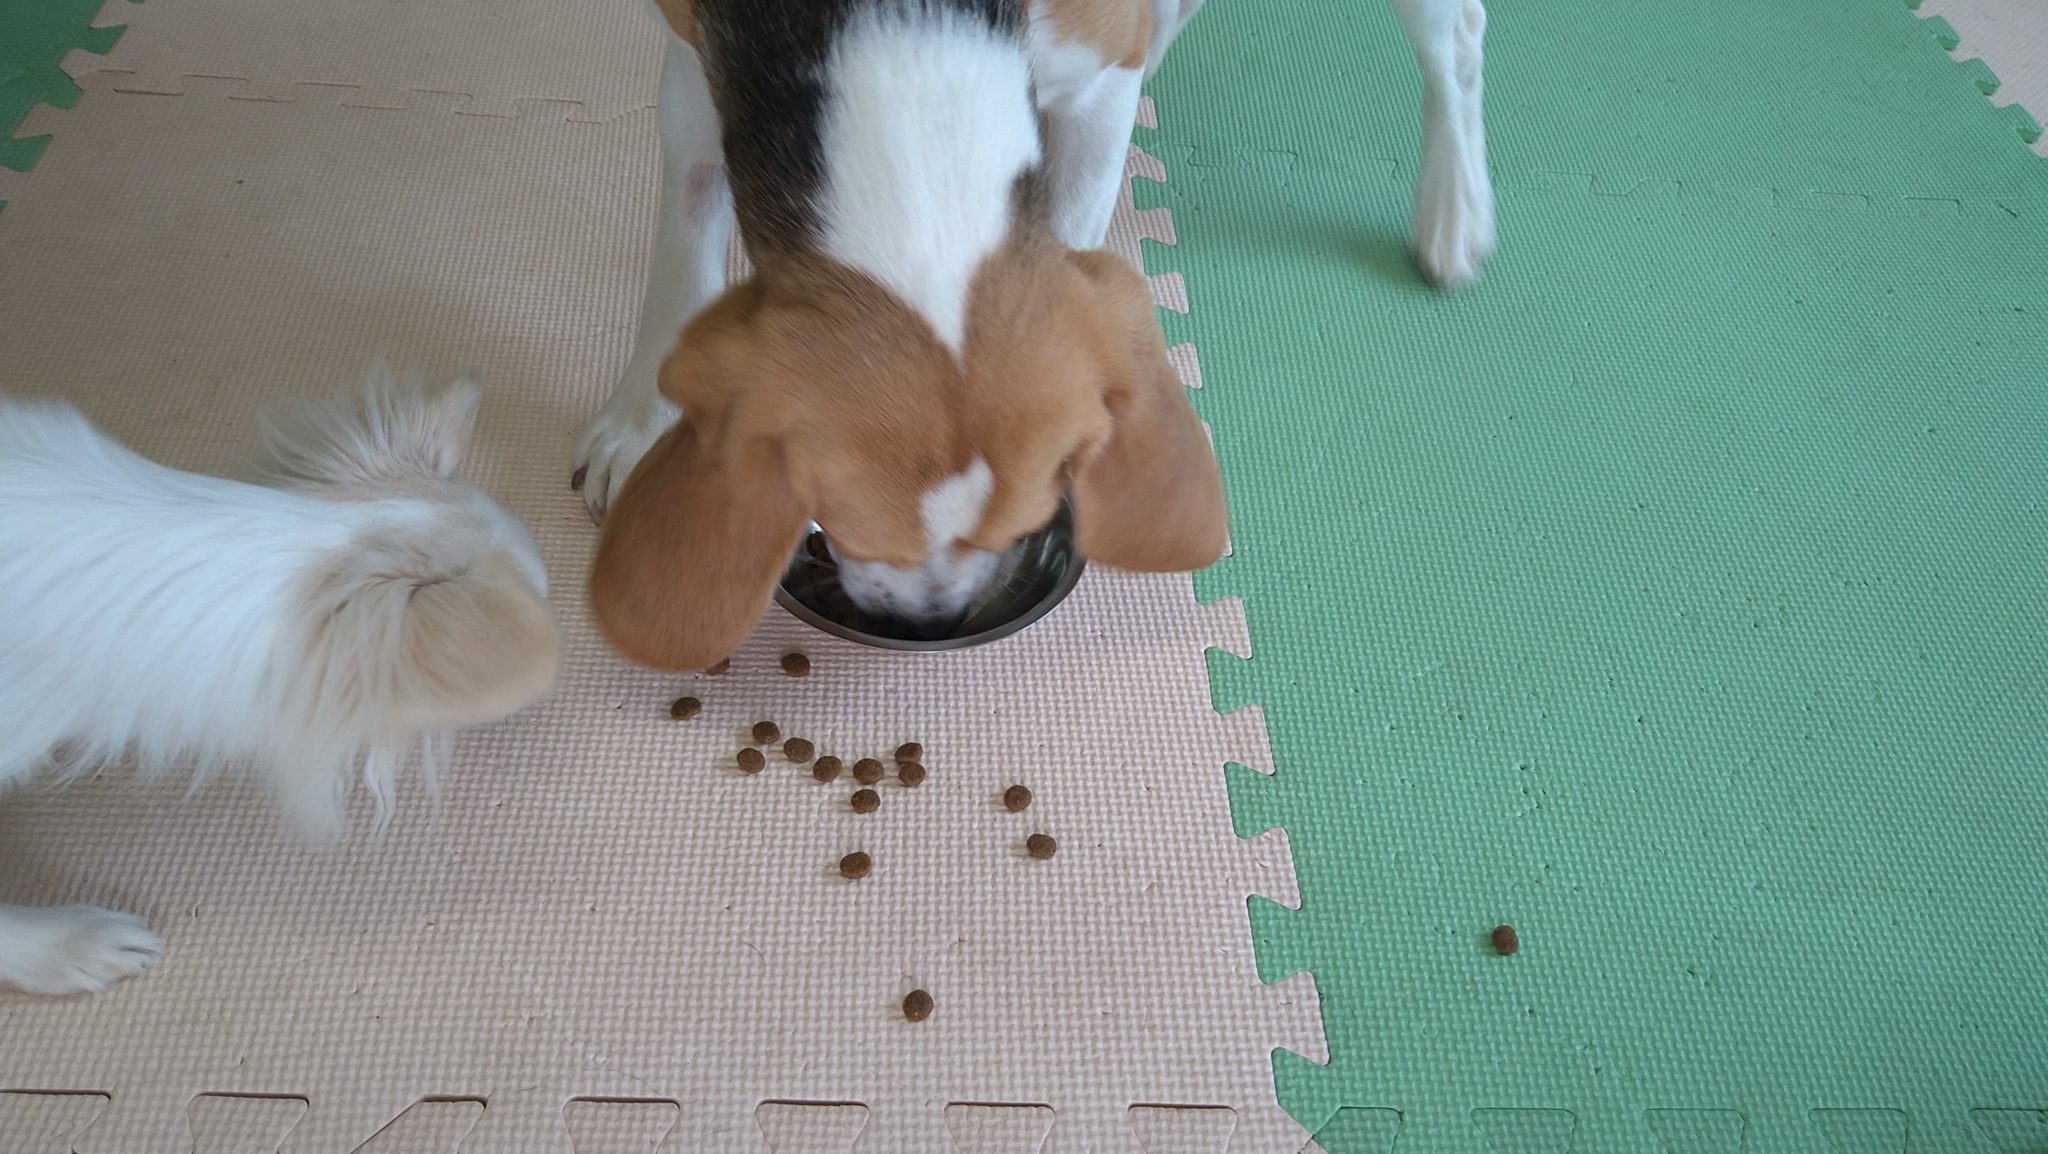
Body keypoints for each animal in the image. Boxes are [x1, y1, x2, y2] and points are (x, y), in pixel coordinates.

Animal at [577, 0, 1494, 671]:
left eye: (1015, 523)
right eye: (841, 523)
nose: (931, 623)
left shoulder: (1099, 85)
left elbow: (1076, 217)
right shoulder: (695, 57)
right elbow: (683, 251)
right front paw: (638, 427)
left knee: (1458, 36)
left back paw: (1453, 209)